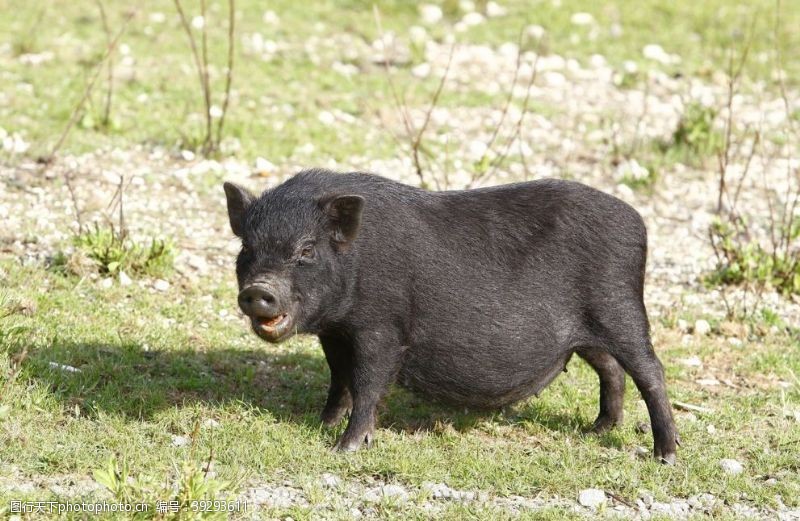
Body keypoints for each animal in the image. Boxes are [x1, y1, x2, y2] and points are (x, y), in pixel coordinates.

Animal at [222, 169, 680, 462]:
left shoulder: (381, 329)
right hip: (586, 331)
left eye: (306, 249)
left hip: (621, 308)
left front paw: (344, 448)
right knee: (610, 368)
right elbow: (340, 380)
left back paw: (664, 456)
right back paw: (596, 430)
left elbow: (368, 383)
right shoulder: (335, 333)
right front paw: (321, 425)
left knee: (650, 371)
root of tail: (638, 222)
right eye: (247, 248)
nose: (259, 290)